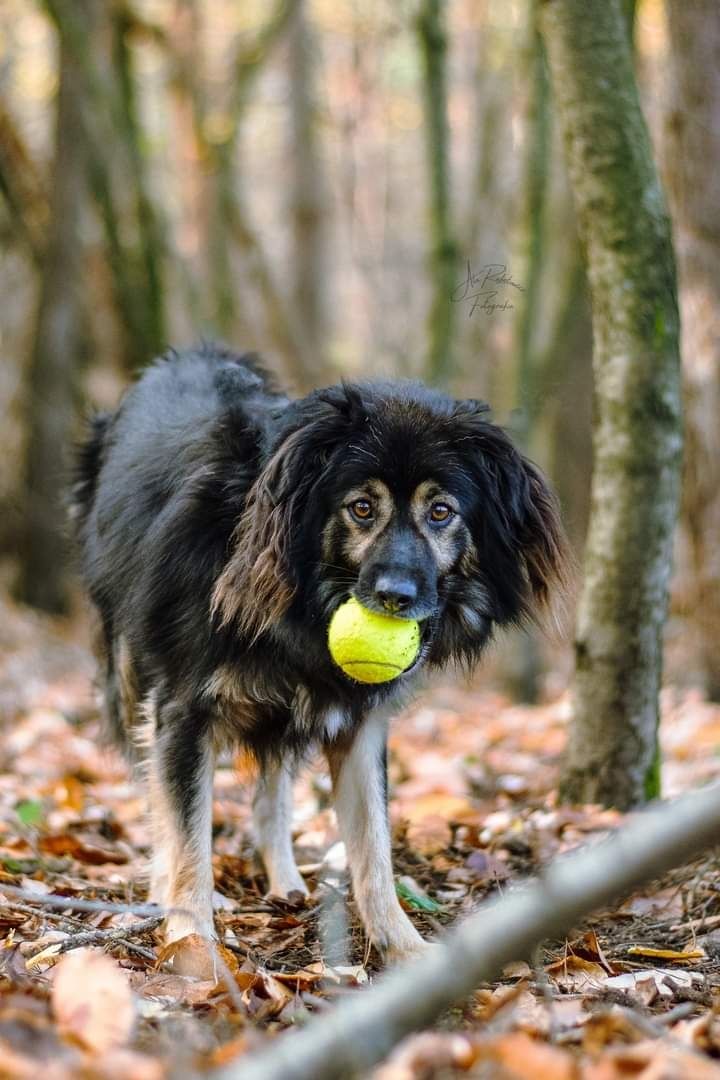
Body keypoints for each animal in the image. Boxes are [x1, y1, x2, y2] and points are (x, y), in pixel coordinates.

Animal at [71, 341, 569, 959]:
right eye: (361, 508)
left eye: (441, 511)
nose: (396, 597)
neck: (303, 603)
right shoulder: (182, 709)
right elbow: (186, 836)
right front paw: (192, 945)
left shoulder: (359, 721)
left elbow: (374, 847)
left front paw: (407, 950)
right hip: (128, 666)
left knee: (273, 785)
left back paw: (284, 880)